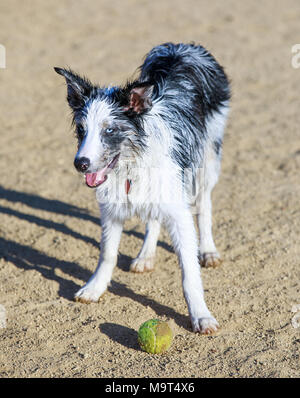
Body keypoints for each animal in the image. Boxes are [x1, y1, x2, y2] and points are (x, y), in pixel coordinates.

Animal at [55, 42, 231, 332]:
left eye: (110, 130)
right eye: (81, 129)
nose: (80, 164)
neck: (130, 165)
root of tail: (183, 46)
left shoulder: (180, 212)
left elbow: (189, 274)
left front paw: (201, 315)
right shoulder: (111, 210)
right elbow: (107, 254)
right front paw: (94, 288)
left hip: (207, 160)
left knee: (205, 204)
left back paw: (208, 250)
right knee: (153, 219)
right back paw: (146, 255)